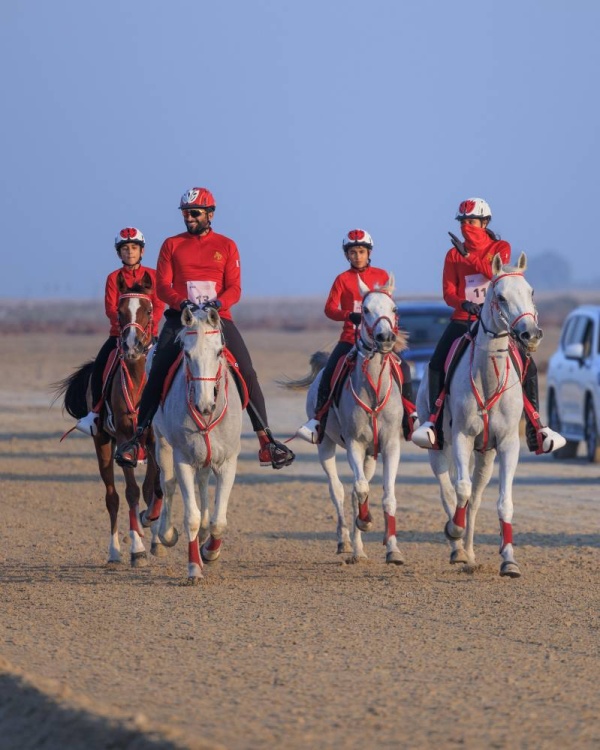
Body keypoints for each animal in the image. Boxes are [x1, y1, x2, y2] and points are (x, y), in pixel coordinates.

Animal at [56, 274, 163, 568]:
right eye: (120, 311)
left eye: (148, 310)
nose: (132, 346)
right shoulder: (126, 441)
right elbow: (132, 493)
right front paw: (137, 549)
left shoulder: (153, 441)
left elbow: (151, 488)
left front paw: (154, 536)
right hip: (103, 442)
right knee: (112, 497)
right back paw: (115, 552)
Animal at [151, 306, 243, 588]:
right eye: (187, 353)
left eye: (218, 352)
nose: (204, 405)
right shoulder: (182, 459)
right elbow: (189, 517)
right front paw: (194, 568)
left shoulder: (228, 462)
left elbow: (219, 522)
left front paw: (210, 552)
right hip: (162, 443)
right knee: (167, 483)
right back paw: (164, 536)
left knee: (202, 482)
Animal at [286, 276, 408, 564]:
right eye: (365, 310)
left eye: (394, 309)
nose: (385, 338)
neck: (374, 389)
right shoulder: (355, 443)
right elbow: (360, 489)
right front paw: (365, 522)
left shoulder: (388, 446)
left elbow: (387, 497)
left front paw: (393, 550)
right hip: (325, 446)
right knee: (339, 490)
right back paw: (346, 543)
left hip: (371, 456)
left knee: (353, 491)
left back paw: (359, 550)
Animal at [418, 256, 544, 580]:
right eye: (500, 296)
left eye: (531, 291)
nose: (531, 334)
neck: (488, 378)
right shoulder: (462, 437)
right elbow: (459, 490)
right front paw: (454, 530)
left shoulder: (508, 444)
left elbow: (503, 503)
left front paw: (509, 561)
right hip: (440, 449)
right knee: (449, 492)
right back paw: (457, 548)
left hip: (485, 454)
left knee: (473, 500)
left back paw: (470, 553)